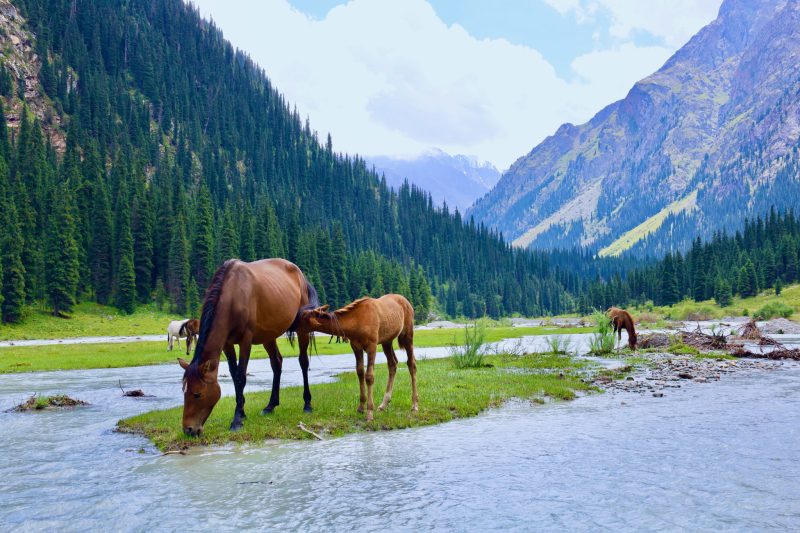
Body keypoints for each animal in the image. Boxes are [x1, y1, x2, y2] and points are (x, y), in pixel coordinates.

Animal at [178, 258, 318, 436]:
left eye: (197, 394)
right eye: (184, 392)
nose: (188, 430)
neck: (232, 296)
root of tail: (301, 275)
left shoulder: (246, 340)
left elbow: (240, 376)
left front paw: (237, 419)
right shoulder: (227, 343)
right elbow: (233, 374)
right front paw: (242, 412)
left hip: (301, 329)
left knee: (303, 362)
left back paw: (307, 404)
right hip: (268, 335)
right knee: (277, 363)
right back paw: (270, 406)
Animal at [296, 294, 418, 422]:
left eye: (303, 317)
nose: (292, 326)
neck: (354, 325)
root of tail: (406, 301)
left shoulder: (372, 345)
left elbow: (369, 377)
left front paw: (369, 412)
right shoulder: (355, 346)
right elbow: (360, 372)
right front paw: (361, 407)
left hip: (407, 334)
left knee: (411, 364)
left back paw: (414, 405)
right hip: (387, 341)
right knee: (393, 364)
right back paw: (384, 404)